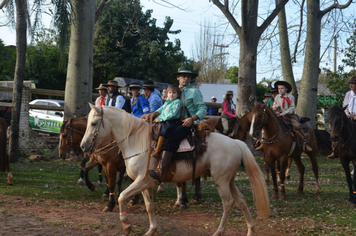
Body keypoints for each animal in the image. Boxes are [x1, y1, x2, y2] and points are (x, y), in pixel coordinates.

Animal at [81, 104, 270, 236]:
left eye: (94, 123)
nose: (83, 146)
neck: (137, 141)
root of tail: (235, 143)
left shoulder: (141, 181)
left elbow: (121, 196)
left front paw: (127, 226)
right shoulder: (146, 184)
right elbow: (149, 206)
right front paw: (151, 230)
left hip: (221, 181)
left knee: (228, 203)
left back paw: (219, 231)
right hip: (229, 180)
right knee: (241, 201)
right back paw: (250, 230)